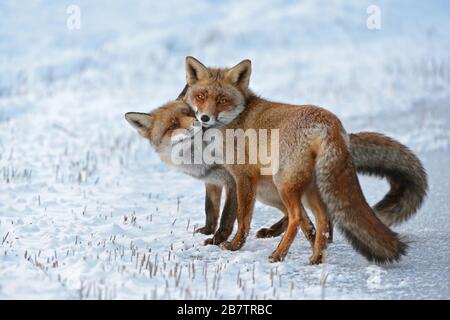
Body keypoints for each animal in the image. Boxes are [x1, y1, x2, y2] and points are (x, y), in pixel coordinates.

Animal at [178, 56, 428, 264]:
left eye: (222, 100)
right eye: (201, 97)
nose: (204, 118)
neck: (236, 120)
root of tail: (331, 124)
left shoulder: (242, 176)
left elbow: (242, 218)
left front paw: (234, 245)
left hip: (283, 184)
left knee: (296, 217)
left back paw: (279, 254)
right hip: (308, 187)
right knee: (321, 218)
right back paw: (316, 257)